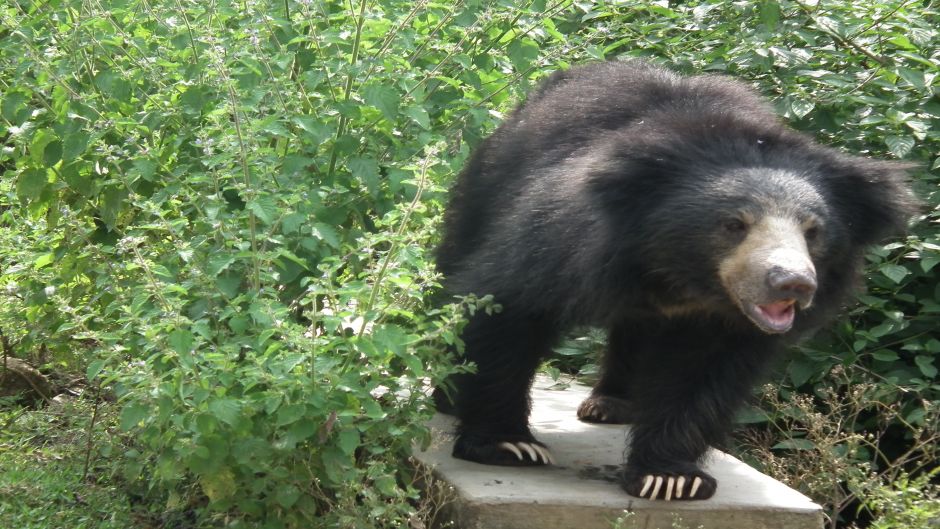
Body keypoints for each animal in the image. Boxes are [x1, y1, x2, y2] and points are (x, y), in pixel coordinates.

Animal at [436, 59, 916, 502]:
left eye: (813, 231)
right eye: (734, 225)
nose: (792, 284)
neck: (683, 277)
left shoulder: (721, 322)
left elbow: (699, 376)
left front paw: (671, 477)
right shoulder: (562, 244)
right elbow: (506, 309)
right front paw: (508, 445)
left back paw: (613, 404)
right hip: (482, 190)